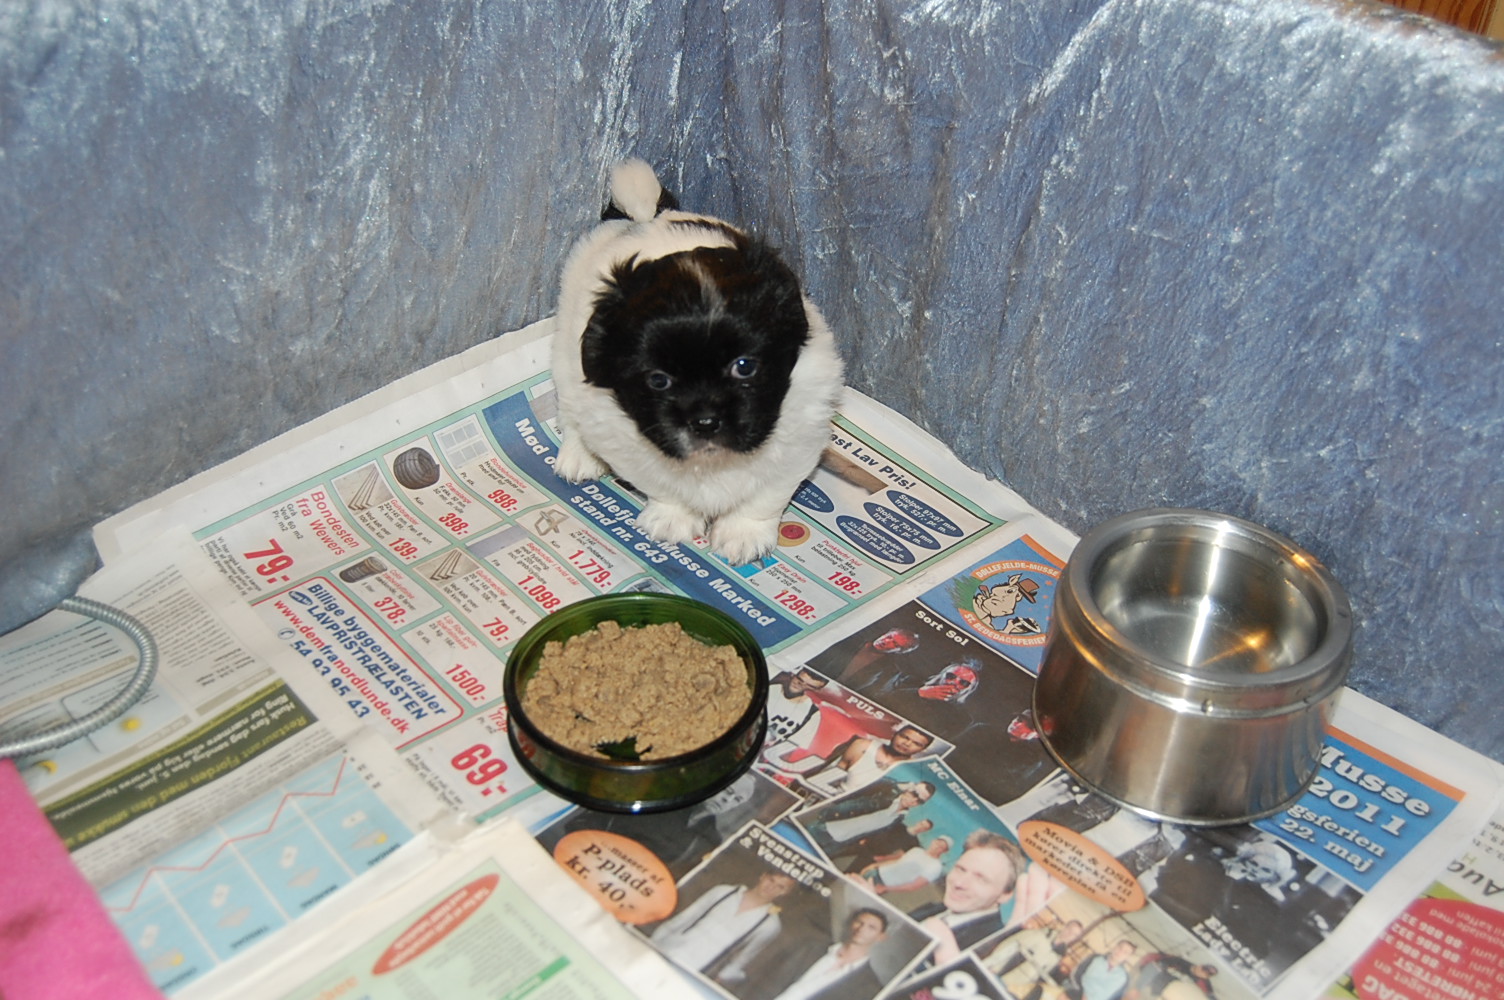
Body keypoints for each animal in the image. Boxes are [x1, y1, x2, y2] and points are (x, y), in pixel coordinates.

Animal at [550, 159, 844, 564]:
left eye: (744, 366)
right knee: (570, 409)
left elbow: (766, 495)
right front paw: (673, 519)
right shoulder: (628, 442)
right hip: (567, 354)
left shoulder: (800, 438)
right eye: (659, 380)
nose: (705, 422)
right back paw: (579, 457)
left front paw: (743, 534)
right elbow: (665, 487)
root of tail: (651, 216)